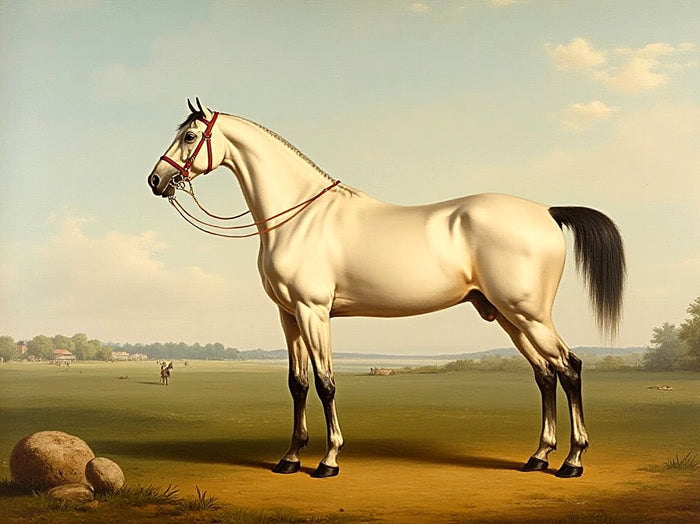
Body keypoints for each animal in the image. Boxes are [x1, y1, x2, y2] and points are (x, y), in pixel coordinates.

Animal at [148, 99, 625, 479]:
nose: (155, 180)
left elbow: (325, 382)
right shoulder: (287, 314)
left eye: (189, 136)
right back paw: (539, 456)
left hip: (529, 313)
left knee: (569, 368)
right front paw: (289, 458)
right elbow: (297, 383)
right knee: (545, 375)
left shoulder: (313, 311)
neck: (300, 219)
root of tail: (546, 211)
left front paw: (328, 461)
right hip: (508, 316)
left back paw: (572, 462)